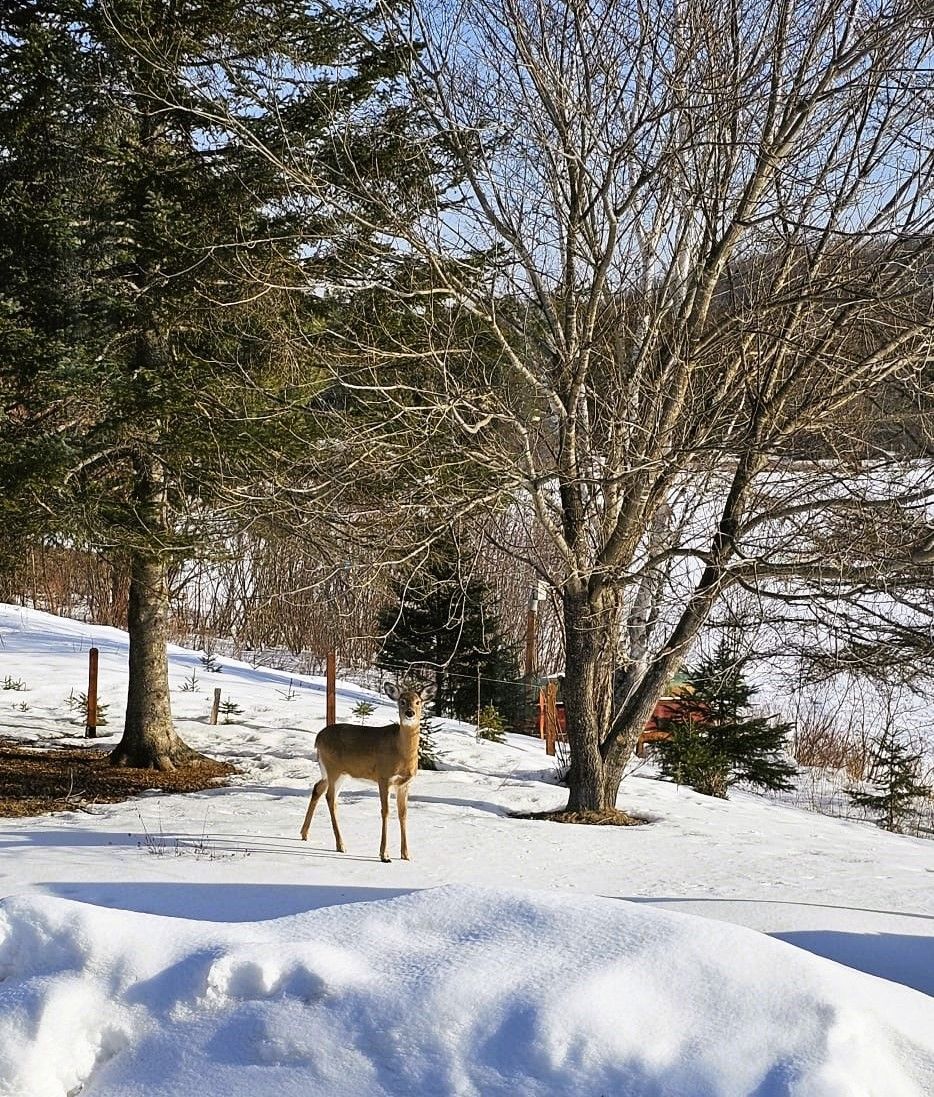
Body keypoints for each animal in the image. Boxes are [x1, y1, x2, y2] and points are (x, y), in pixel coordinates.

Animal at [300, 681, 435, 863]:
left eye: (418, 702)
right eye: (402, 701)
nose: (410, 713)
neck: (402, 752)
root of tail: (318, 737)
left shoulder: (404, 783)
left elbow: (403, 814)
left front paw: (406, 854)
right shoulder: (384, 777)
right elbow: (385, 811)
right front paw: (384, 855)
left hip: (334, 771)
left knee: (318, 788)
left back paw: (304, 833)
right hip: (333, 768)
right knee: (330, 798)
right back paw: (340, 845)